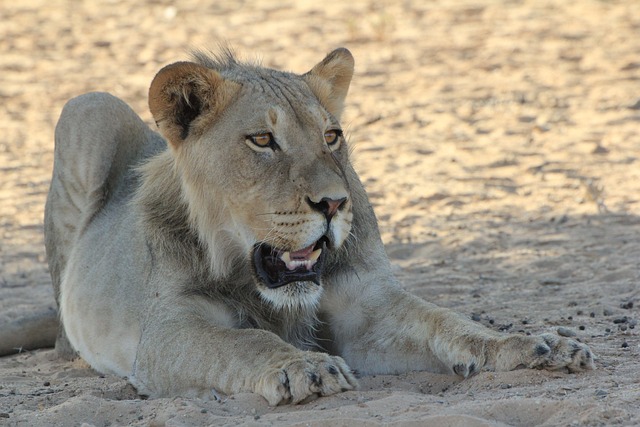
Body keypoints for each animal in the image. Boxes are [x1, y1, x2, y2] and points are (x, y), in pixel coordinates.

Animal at [24, 48, 596, 405]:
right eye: (262, 141)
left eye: (331, 136)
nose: (334, 203)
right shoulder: (168, 330)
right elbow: (245, 343)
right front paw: (305, 367)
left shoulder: (366, 303)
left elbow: (449, 324)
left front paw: (534, 346)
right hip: (86, 108)